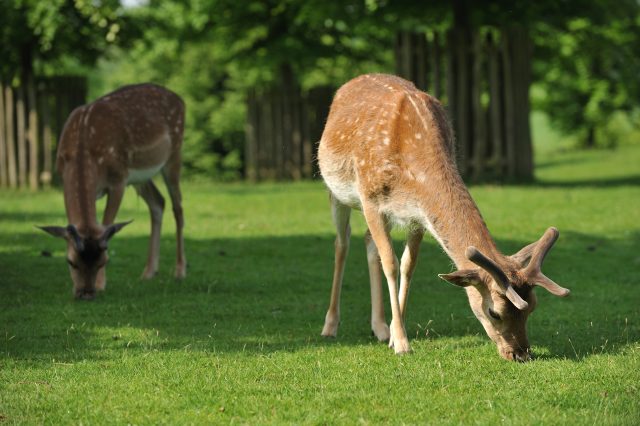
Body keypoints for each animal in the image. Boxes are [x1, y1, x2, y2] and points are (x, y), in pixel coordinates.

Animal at [39, 83, 186, 300]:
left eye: (104, 261)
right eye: (70, 261)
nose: (86, 293)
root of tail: (181, 100)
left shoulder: (118, 180)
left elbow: (108, 224)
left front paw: (101, 284)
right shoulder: (65, 177)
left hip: (173, 155)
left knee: (178, 207)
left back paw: (180, 271)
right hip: (140, 177)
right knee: (158, 202)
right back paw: (149, 272)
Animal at [318, 75, 568, 362]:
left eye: (532, 308)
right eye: (495, 312)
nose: (521, 354)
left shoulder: (417, 215)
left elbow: (408, 265)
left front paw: (393, 336)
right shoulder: (371, 199)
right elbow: (391, 264)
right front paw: (402, 343)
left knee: (369, 243)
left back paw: (379, 327)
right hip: (337, 190)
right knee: (342, 243)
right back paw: (330, 325)